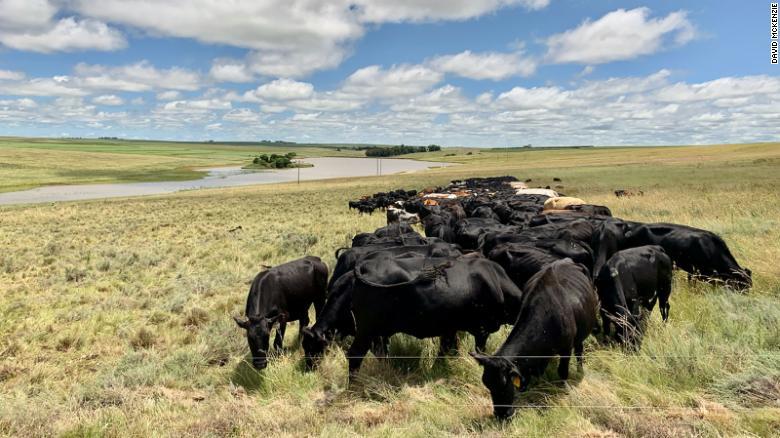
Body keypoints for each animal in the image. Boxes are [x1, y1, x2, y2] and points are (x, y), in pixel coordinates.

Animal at [348, 256, 524, 380]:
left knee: (379, 351)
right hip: (366, 329)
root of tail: (365, 266)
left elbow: (446, 349)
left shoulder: (450, 328)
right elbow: (479, 350)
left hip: (376, 331)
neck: (497, 282)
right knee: (355, 354)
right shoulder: (482, 329)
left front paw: (436, 368)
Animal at [470, 258, 596, 420]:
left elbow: (562, 371)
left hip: (581, 333)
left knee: (579, 350)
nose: (501, 415)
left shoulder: (566, 348)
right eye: (487, 384)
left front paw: (565, 389)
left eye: (505, 384)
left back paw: (580, 370)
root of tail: (567, 260)